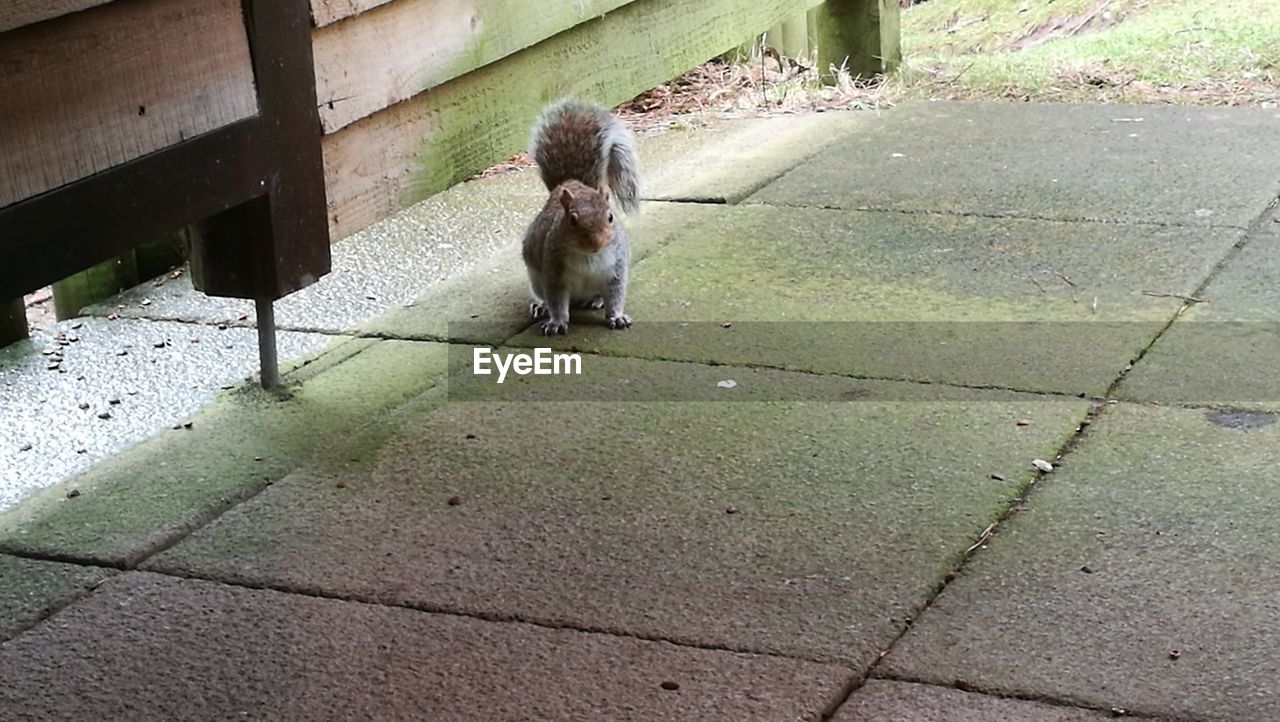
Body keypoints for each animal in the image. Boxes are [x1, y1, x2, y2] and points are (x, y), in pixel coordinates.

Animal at [519, 96, 640, 335]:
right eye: (572, 220)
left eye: (610, 217)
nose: (595, 243)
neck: (588, 257)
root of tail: (569, 183)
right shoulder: (553, 272)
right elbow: (556, 301)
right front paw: (556, 322)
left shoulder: (616, 269)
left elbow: (616, 295)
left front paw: (617, 316)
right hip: (535, 274)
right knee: (541, 294)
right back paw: (541, 305)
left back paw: (595, 300)